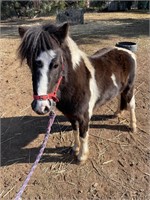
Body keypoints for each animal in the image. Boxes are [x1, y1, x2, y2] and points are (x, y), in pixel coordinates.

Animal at [18, 22, 137, 162]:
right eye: (29, 63)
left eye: (56, 64)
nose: (41, 107)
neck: (76, 85)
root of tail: (127, 52)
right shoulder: (70, 115)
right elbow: (75, 131)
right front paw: (75, 148)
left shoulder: (84, 116)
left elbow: (83, 135)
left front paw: (82, 156)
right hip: (121, 89)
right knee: (120, 97)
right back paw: (117, 113)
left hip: (129, 88)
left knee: (131, 105)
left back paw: (133, 127)